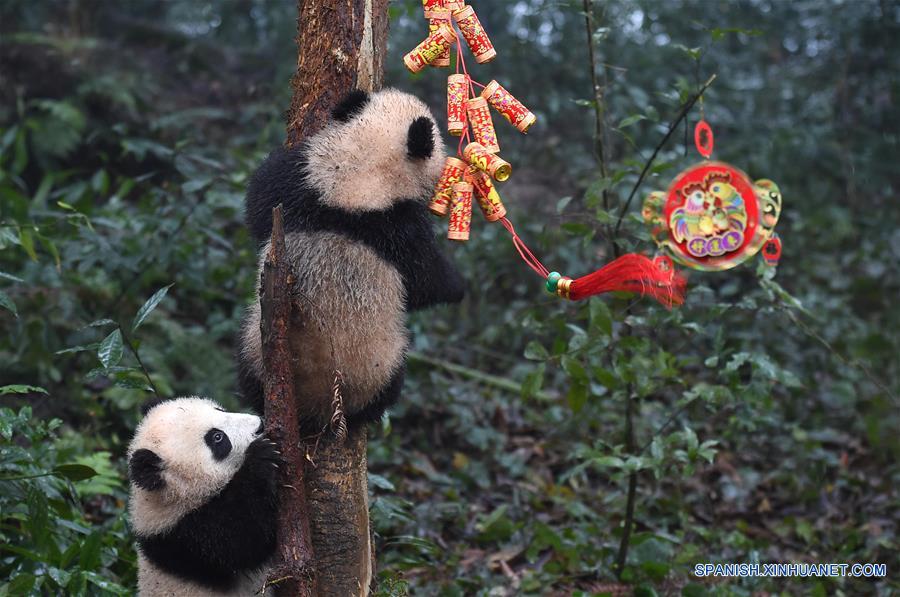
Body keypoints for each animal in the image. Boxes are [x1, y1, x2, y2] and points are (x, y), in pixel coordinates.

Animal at [128, 396, 280, 596]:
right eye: (217, 438)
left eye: (219, 410)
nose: (260, 426)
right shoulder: (188, 540)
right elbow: (244, 540)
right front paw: (261, 459)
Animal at [236, 88, 468, 430]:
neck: (355, 173)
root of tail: (312, 410)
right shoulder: (399, 230)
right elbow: (426, 283)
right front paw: (458, 285)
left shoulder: (298, 184)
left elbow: (258, 204)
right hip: (377, 369)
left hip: (254, 351)